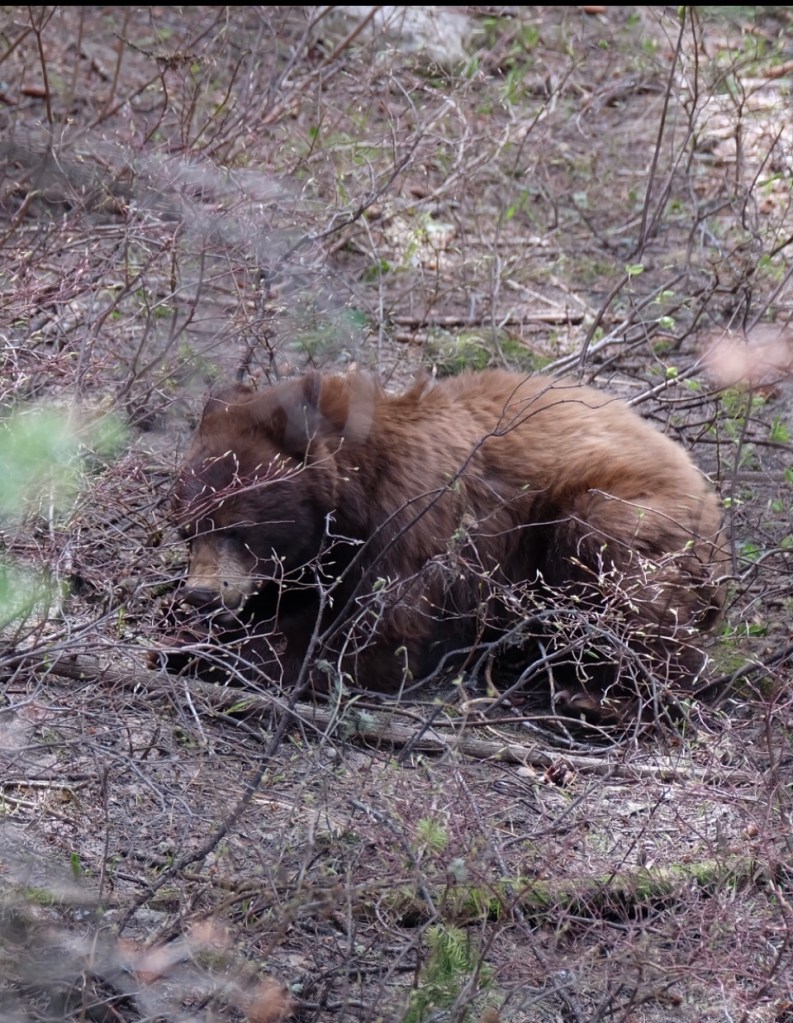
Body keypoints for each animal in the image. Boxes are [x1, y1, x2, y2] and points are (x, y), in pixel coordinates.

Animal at [157, 369, 727, 722]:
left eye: (236, 527)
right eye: (187, 529)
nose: (201, 594)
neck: (355, 493)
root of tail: (712, 502)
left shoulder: (415, 523)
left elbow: (379, 639)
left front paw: (207, 650)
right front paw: (181, 622)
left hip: (626, 511)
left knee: (620, 576)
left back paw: (598, 700)